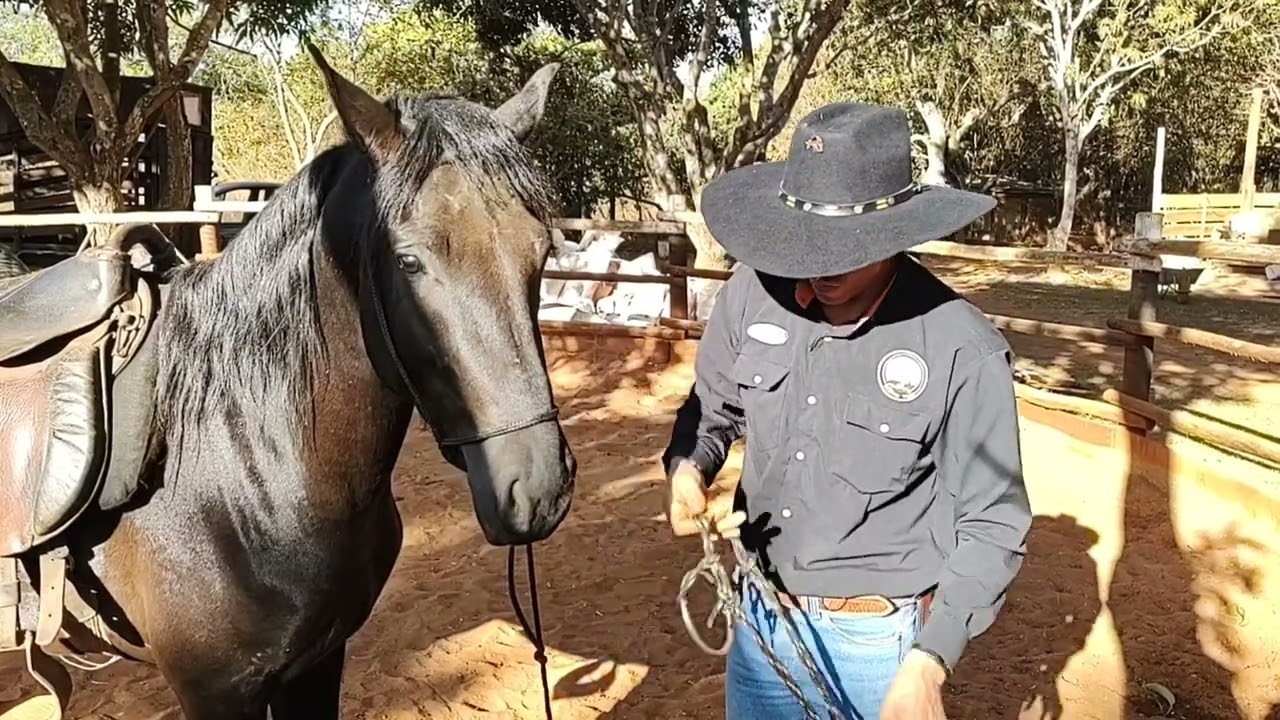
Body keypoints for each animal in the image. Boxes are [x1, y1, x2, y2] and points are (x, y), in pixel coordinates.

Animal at [0, 43, 576, 719]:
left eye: (541, 250)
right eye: (408, 260)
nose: (539, 488)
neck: (239, 469)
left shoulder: (318, 662)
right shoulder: (214, 693)